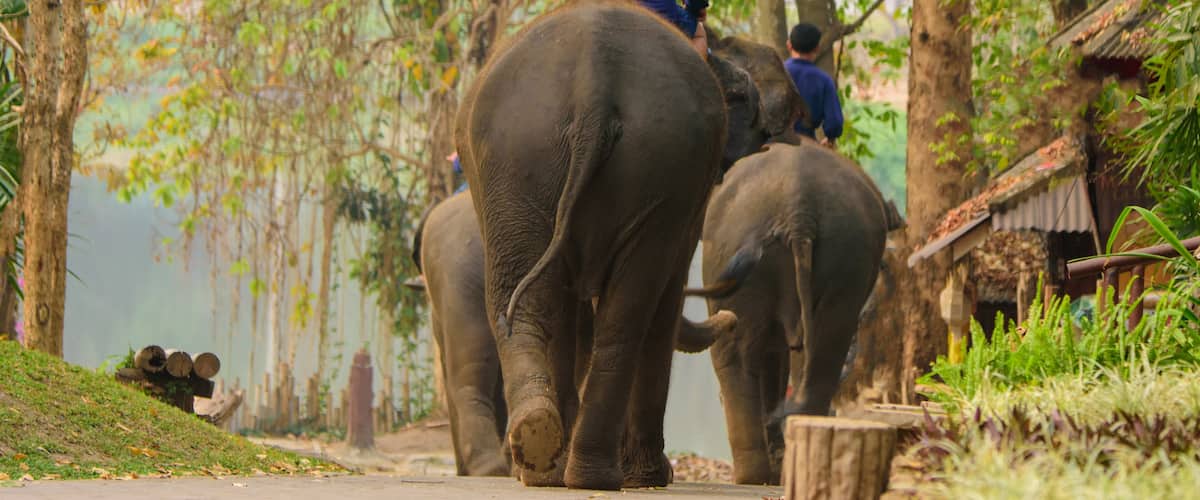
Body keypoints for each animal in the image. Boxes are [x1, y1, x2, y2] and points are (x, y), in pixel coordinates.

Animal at [453, 1, 799, 490]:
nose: (730, 317)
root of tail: (594, 81)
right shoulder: (690, 197)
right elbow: (663, 296)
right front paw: (655, 475)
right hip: (620, 160)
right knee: (628, 309)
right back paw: (600, 472)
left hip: (538, 156)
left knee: (533, 298)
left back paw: (550, 457)